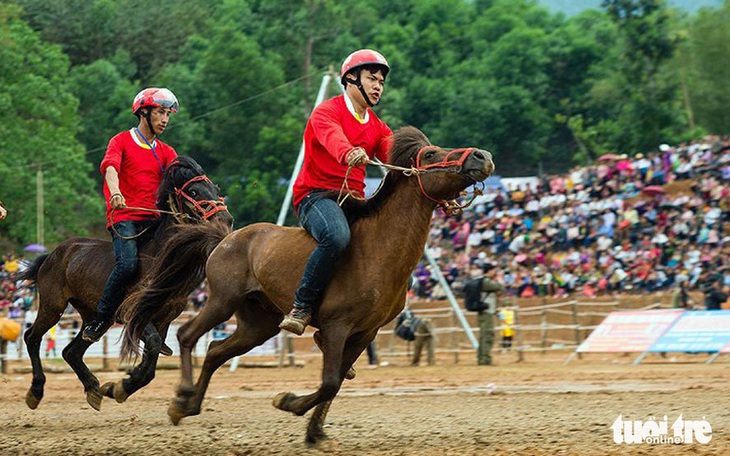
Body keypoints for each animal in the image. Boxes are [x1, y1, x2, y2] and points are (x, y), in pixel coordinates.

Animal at [17, 156, 230, 410]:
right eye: (194, 191)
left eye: (215, 188)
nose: (226, 219)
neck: (160, 259)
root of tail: (51, 254)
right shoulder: (133, 313)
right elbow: (153, 346)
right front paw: (123, 386)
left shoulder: (164, 318)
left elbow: (153, 358)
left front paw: (120, 386)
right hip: (53, 306)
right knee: (32, 338)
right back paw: (36, 391)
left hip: (95, 316)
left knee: (71, 351)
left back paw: (93, 388)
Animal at [122, 127, 492, 446]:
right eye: (430, 154)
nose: (482, 156)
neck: (376, 251)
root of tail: (225, 237)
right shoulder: (336, 327)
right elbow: (329, 382)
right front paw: (287, 402)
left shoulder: (365, 332)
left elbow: (337, 382)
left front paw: (315, 432)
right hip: (221, 301)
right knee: (187, 336)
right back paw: (181, 397)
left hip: (259, 324)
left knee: (214, 351)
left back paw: (188, 406)